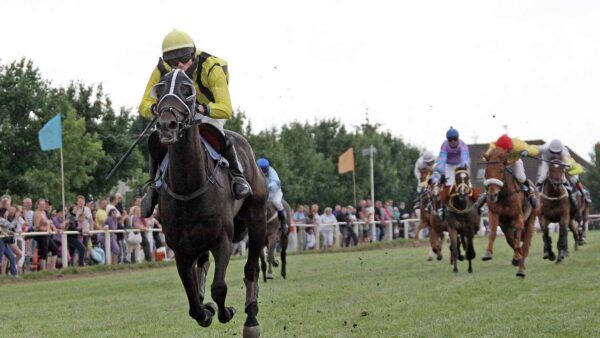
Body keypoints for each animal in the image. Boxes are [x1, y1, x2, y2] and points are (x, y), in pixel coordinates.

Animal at [152, 70, 268, 336]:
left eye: (187, 89)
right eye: (159, 89)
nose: (166, 124)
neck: (189, 186)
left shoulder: (222, 238)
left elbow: (220, 287)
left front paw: (227, 311)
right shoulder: (180, 249)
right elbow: (192, 297)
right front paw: (205, 311)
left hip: (257, 218)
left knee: (251, 269)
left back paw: (251, 319)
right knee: (203, 264)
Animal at [486, 148, 536, 278]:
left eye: (501, 170)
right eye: (486, 171)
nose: (492, 195)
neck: (504, 195)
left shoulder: (518, 217)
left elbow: (518, 238)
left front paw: (517, 257)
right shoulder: (495, 214)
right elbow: (493, 232)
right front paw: (488, 253)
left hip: (531, 220)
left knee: (526, 243)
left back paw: (521, 269)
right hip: (506, 226)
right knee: (511, 239)